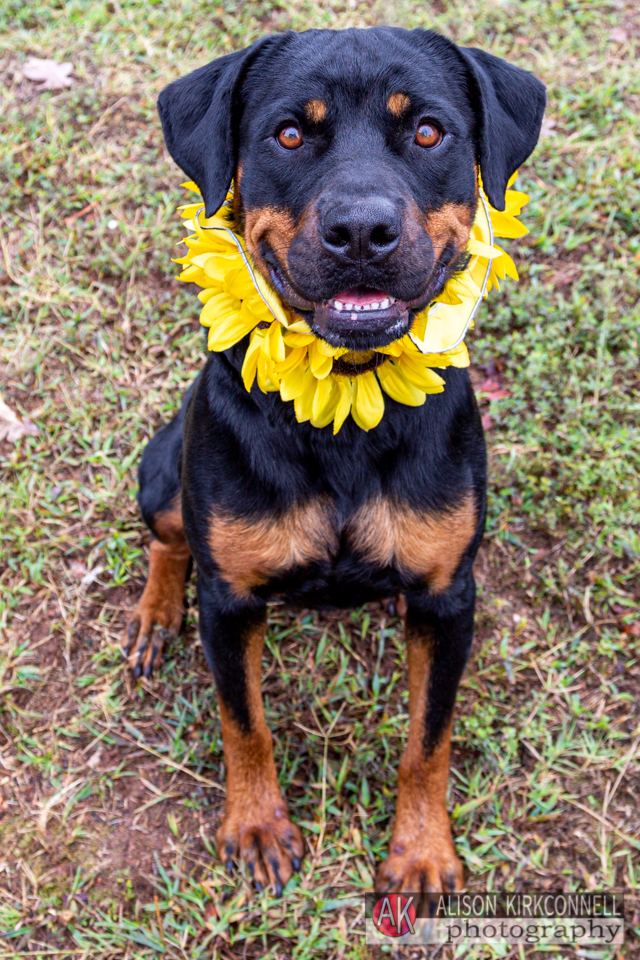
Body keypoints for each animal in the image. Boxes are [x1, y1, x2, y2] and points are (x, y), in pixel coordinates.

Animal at [124, 28, 544, 900]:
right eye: (289, 134)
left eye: (428, 132)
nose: (360, 231)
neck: (347, 406)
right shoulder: (230, 601)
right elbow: (243, 722)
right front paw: (256, 826)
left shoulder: (448, 598)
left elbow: (428, 741)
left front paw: (421, 854)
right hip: (162, 463)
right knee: (169, 538)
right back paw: (153, 616)